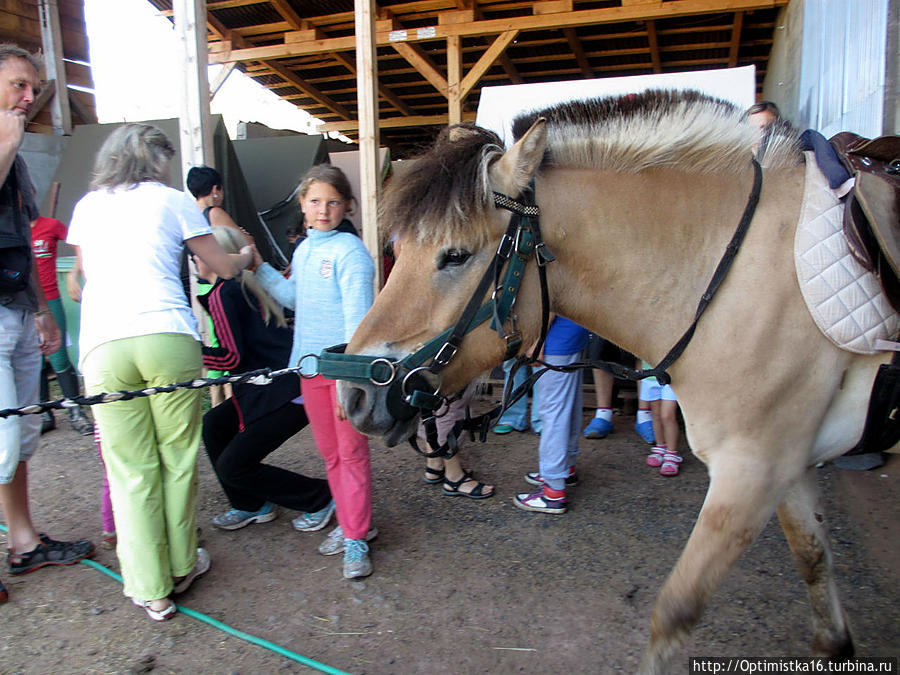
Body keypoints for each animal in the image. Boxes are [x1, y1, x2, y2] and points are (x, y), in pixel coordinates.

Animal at [334, 92, 884, 672]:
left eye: (455, 255)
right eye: (397, 250)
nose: (353, 394)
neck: (727, 274)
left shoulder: (754, 469)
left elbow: (675, 611)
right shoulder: (787, 464)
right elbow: (813, 558)